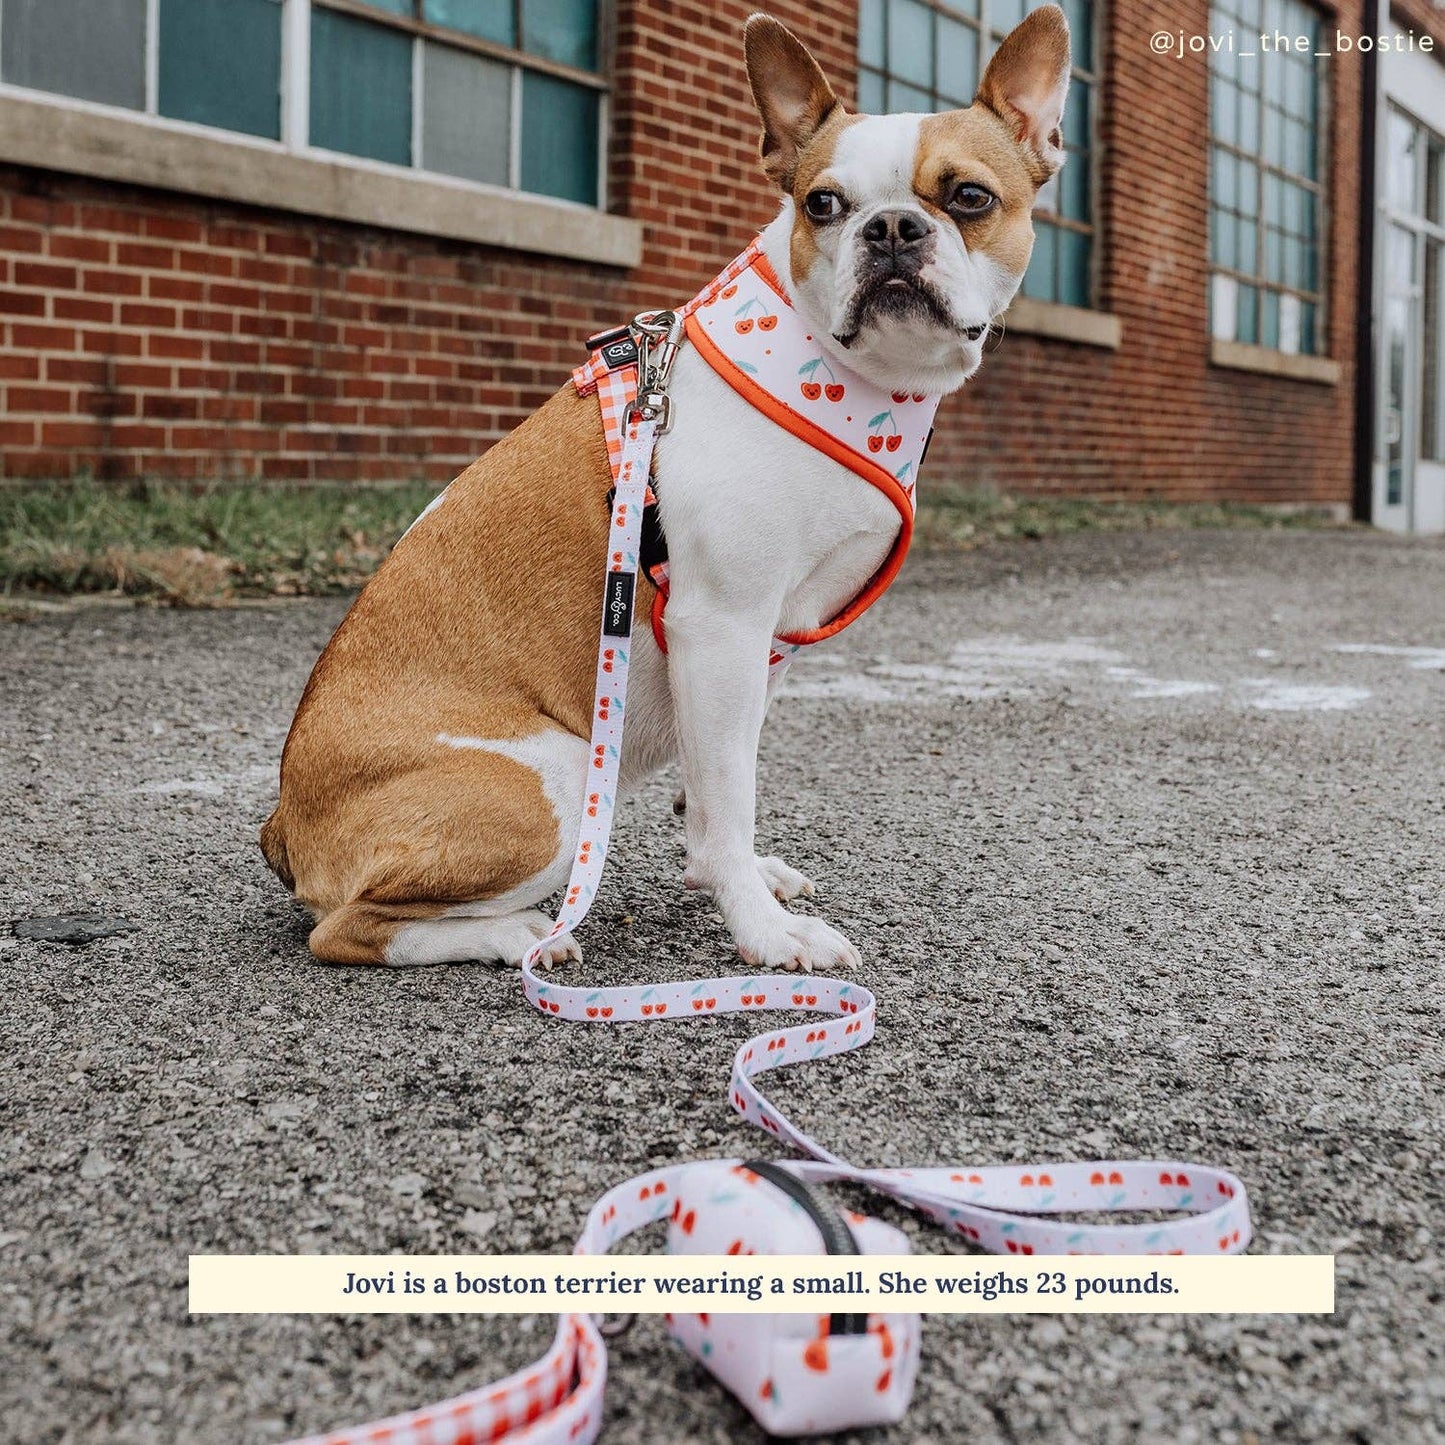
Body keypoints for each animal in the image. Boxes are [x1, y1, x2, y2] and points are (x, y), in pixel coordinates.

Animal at [262, 8, 1075, 971]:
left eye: (971, 199)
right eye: (822, 205)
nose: (890, 228)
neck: (854, 377)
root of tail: (283, 822)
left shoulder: (753, 650)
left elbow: (718, 783)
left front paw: (743, 880)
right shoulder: (719, 626)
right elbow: (729, 796)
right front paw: (762, 932)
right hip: (557, 779)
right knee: (349, 928)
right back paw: (518, 933)